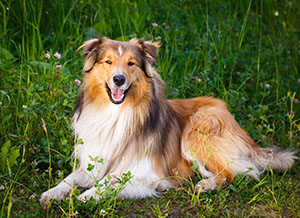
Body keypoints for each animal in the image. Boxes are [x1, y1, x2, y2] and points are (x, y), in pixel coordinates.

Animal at [41, 37, 296, 203]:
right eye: (108, 62)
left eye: (131, 63)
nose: (118, 79)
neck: (117, 113)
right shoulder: (93, 162)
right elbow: (70, 178)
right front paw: (51, 193)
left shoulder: (146, 173)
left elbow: (109, 182)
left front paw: (87, 195)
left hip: (196, 131)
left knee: (230, 173)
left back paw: (205, 184)